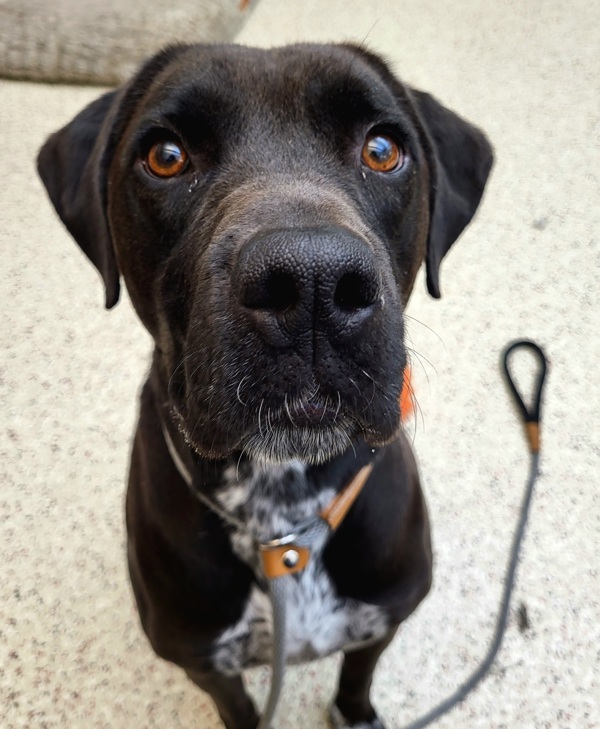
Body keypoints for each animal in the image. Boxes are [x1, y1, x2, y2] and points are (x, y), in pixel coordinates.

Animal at [39, 42, 494, 724]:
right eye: (165, 156)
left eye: (382, 149)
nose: (312, 283)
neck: (282, 519)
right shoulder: (205, 663)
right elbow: (239, 707)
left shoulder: (382, 621)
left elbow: (357, 676)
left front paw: (355, 713)